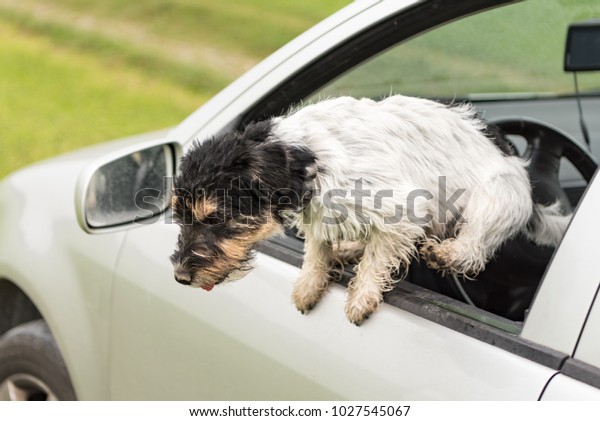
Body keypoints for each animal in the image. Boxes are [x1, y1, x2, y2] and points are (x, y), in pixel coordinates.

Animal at [170, 94, 572, 324]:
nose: (179, 278)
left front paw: (361, 297)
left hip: (493, 197)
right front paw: (310, 283)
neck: (306, 157)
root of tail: (521, 169)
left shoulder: (401, 210)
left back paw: (446, 254)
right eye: (180, 217)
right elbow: (317, 248)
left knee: (472, 248)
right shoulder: (321, 217)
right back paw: (349, 248)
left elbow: (378, 258)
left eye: (215, 218)